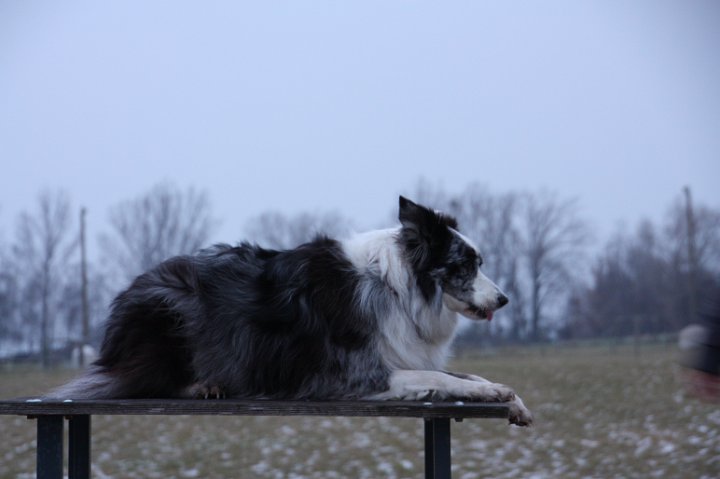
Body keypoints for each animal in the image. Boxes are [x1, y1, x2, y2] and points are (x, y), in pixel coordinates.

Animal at [50, 196, 532, 426]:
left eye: (478, 262)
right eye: (466, 264)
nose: (505, 300)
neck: (397, 288)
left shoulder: (401, 353)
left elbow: (464, 374)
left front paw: (511, 399)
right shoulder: (358, 374)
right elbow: (439, 377)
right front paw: (494, 393)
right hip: (173, 311)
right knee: (153, 383)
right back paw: (205, 386)